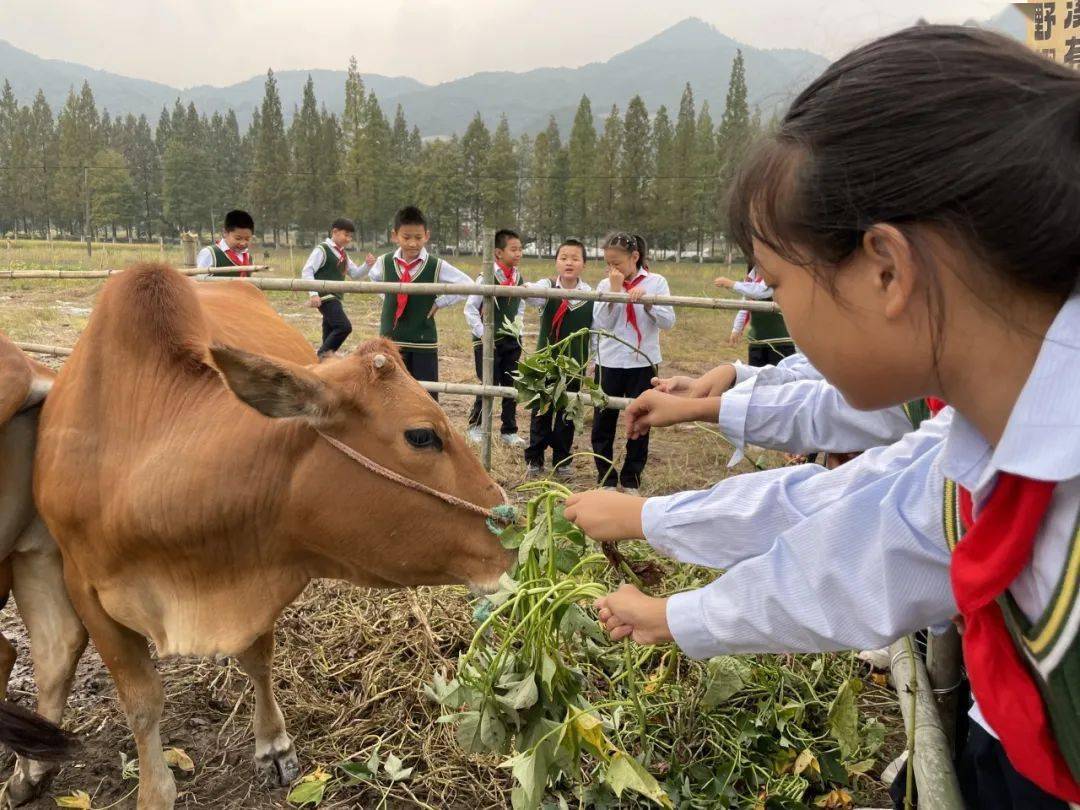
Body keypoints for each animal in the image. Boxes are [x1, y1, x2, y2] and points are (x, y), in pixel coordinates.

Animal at [34, 266, 514, 810]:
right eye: (421, 435)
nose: (511, 532)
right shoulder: (82, 585)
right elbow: (140, 701)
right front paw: (154, 791)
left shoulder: (256, 562)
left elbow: (258, 661)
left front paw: (274, 745)